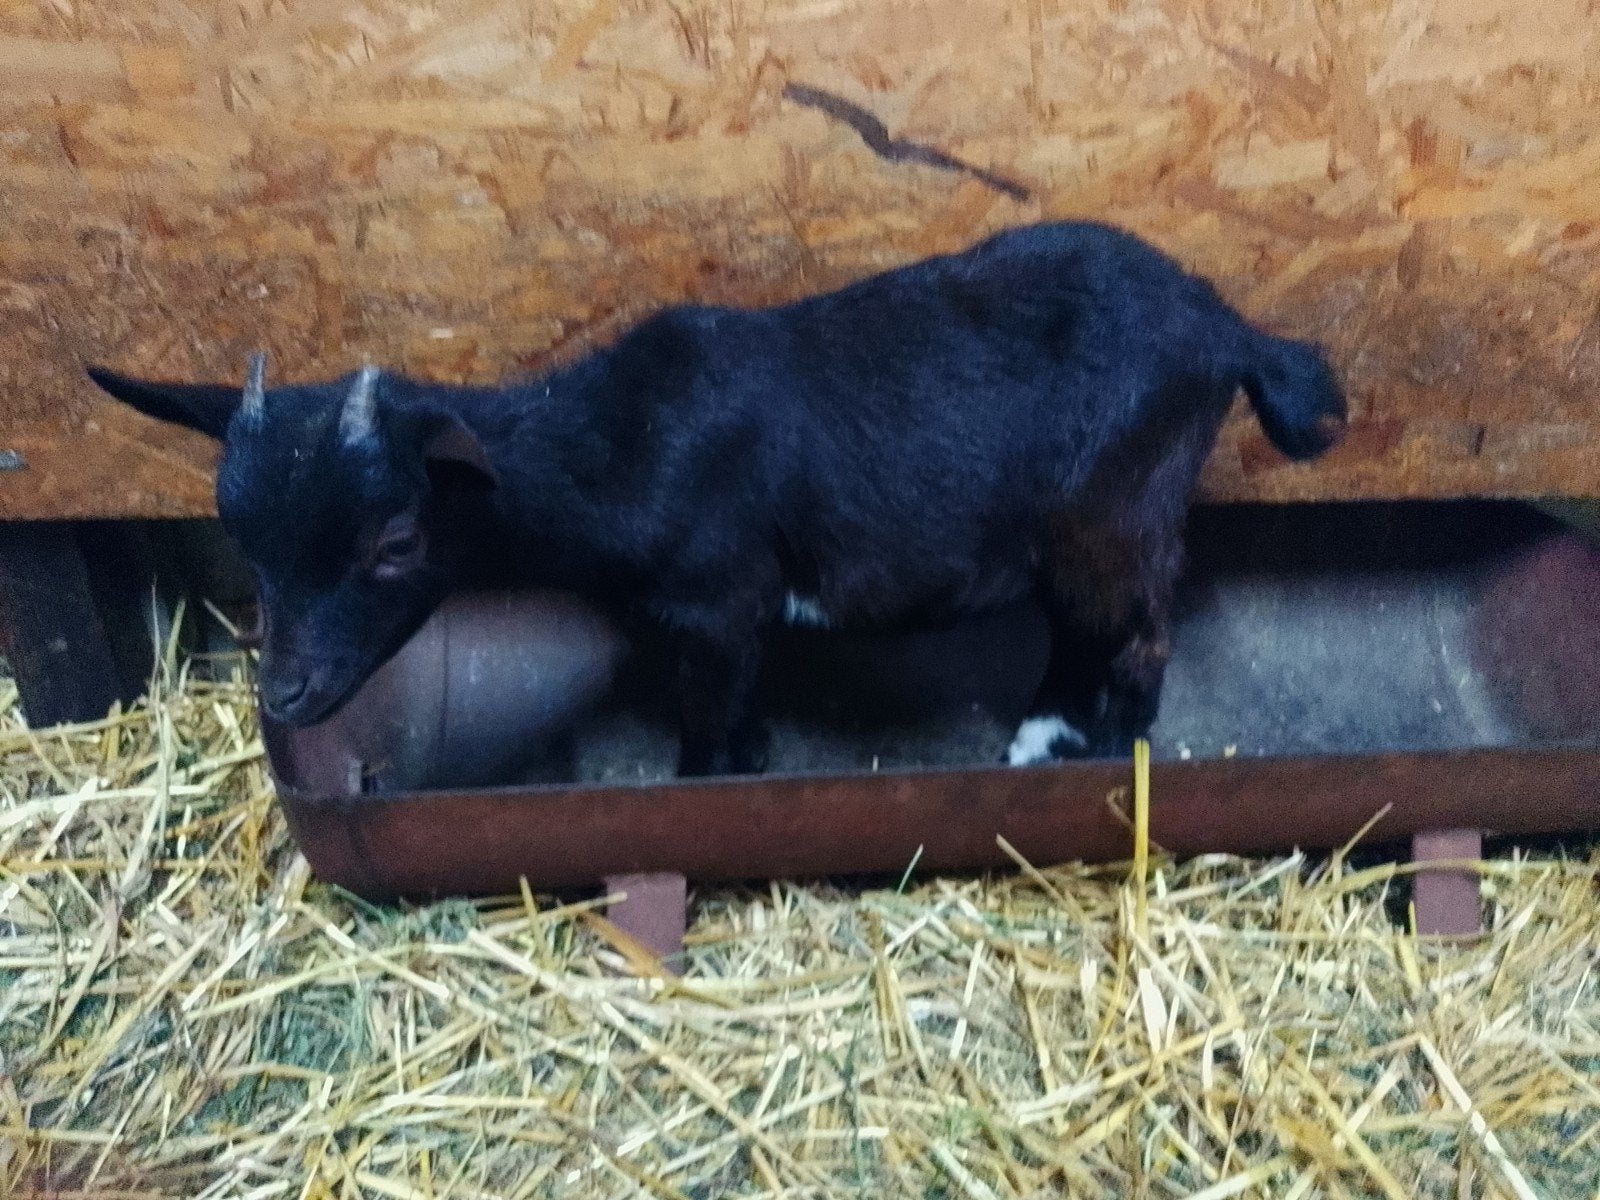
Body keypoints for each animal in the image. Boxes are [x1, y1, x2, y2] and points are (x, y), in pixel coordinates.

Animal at [87, 221, 1346, 776]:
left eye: (396, 537)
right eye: (245, 545)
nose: (287, 694)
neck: (618, 444)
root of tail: (1231, 329)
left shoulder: (720, 600)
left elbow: (702, 730)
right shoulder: (721, 624)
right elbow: (734, 716)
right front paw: (751, 757)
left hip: (1116, 506)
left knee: (1136, 635)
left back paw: (1089, 750)